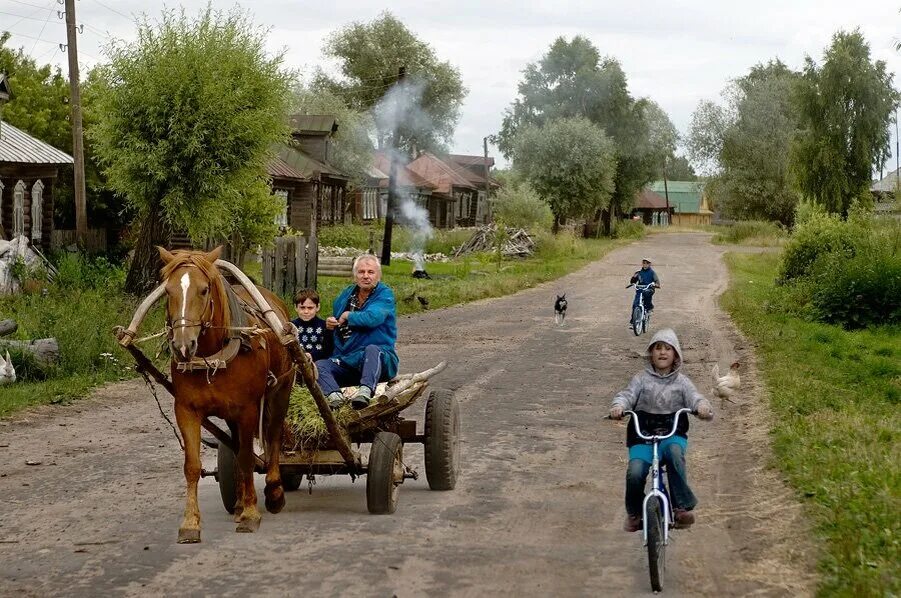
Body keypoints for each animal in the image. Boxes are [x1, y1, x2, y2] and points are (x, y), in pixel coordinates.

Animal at [155, 246, 294, 548]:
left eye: (204, 289)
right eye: (168, 290)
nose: (183, 346)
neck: (212, 358)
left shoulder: (248, 409)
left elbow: (246, 458)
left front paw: (251, 515)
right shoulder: (186, 410)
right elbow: (193, 466)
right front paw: (190, 523)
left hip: (280, 391)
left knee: (274, 436)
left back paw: (274, 492)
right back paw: (240, 502)